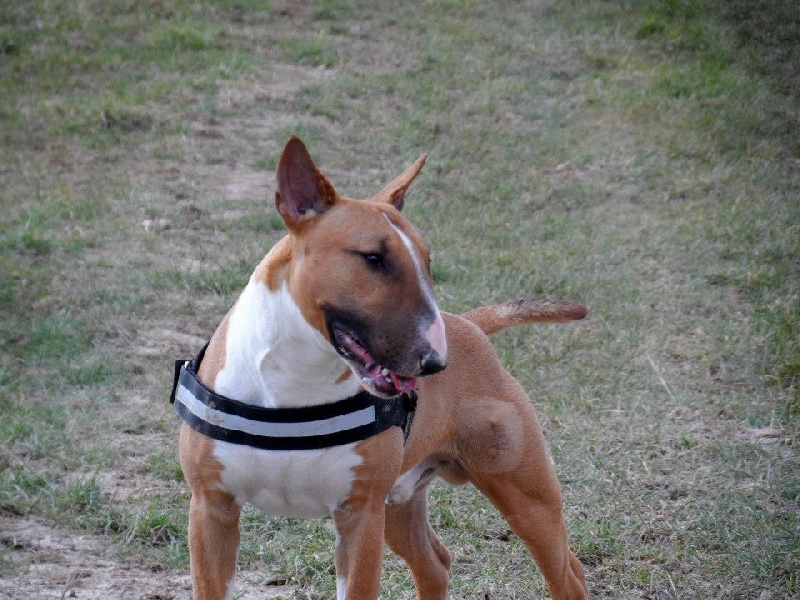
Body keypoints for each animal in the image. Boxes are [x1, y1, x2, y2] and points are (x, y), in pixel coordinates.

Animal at [174, 136, 589, 599]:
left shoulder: (360, 514)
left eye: (426, 262)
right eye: (373, 258)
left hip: (524, 494)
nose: (435, 362)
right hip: (400, 502)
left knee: (568, 573)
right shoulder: (212, 508)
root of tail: (471, 325)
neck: (297, 381)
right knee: (435, 564)